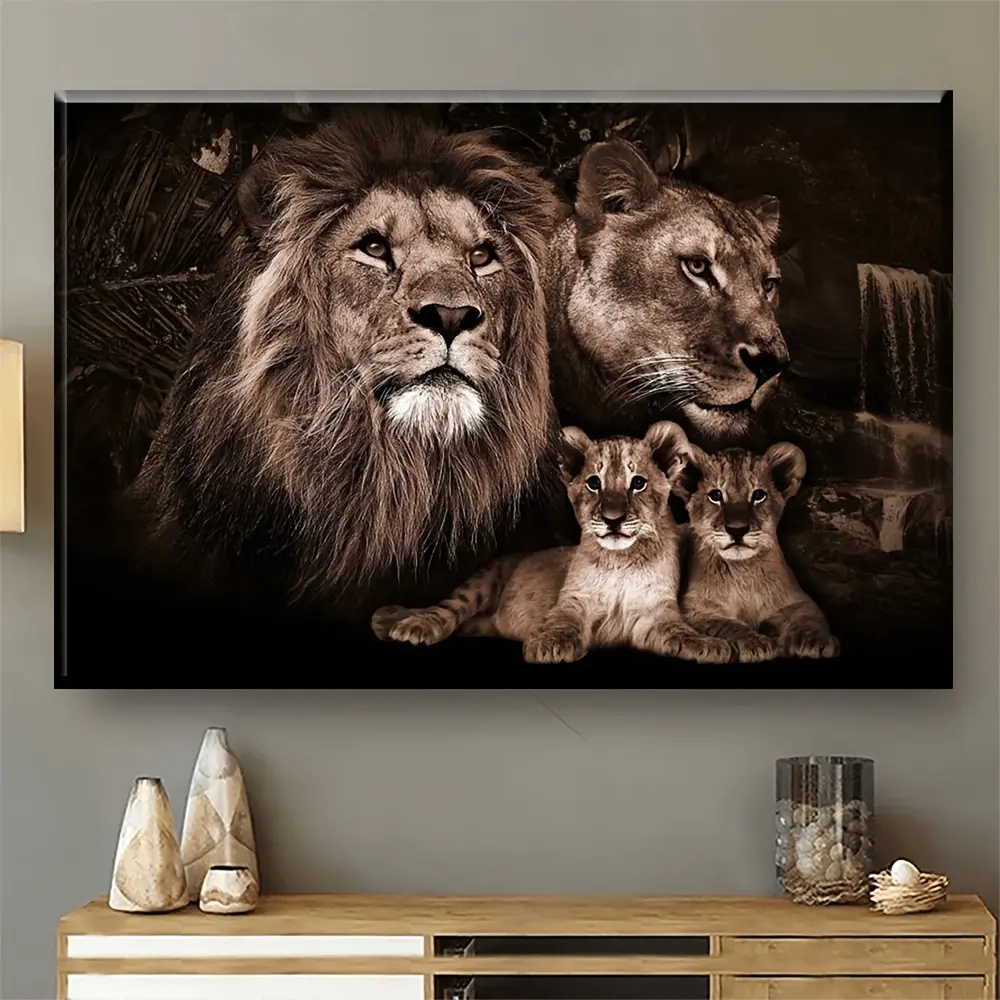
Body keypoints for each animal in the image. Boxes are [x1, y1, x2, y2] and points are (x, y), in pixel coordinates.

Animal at [372, 422, 733, 665]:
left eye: (638, 483)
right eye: (594, 483)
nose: (613, 519)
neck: (621, 561)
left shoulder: (653, 613)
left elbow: (678, 632)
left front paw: (709, 644)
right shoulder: (572, 600)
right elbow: (562, 621)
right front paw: (549, 645)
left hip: (484, 620)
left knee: (466, 624)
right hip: (483, 580)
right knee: (448, 609)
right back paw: (408, 623)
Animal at [670, 440, 840, 662]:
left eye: (758, 495)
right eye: (715, 495)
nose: (737, 529)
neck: (744, 571)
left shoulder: (798, 600)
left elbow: (810, 617)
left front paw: (816, 641)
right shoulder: (695, 609)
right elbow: (727, 625)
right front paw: (756, 643)